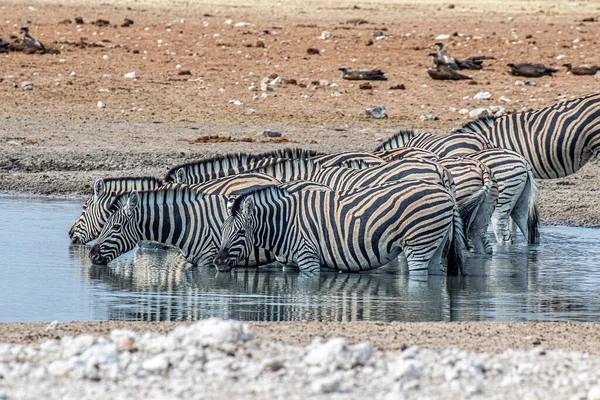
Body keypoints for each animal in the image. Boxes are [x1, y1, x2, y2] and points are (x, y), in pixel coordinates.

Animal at [213, 180, 466, 276]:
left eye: (241, 233)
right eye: (222, 231)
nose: (219, 262)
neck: (285, 222)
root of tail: (445, 192)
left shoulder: (308, 258)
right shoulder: (290, 265)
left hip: (419, 242)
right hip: (435, 242)